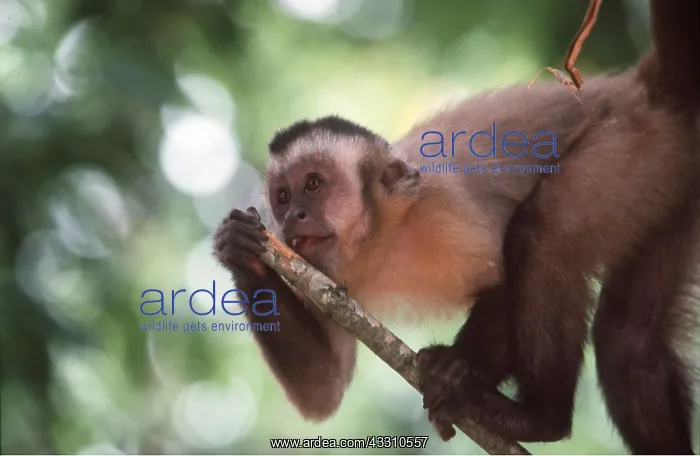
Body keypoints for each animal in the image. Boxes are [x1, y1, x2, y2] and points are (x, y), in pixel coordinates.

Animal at [213, 0, 700, 453]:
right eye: (282, 196)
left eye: (312, 185)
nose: (292, 216)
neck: (384, 236)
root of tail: (643, 87)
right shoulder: (324, 276)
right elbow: (323, 388)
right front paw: (241, 252)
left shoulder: (443, 211)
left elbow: (505, 285)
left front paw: (455, 367)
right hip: (670, 175)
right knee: (629, 338)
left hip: (630, 148)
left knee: (542, 237)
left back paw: (540, 419)